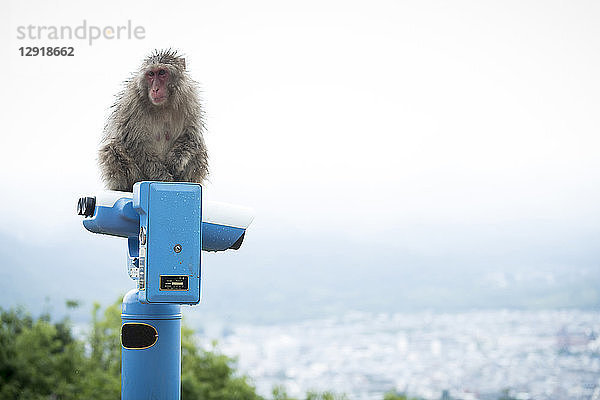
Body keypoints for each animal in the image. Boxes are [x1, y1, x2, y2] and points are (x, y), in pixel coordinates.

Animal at [98, 48, 209, 192]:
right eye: (151, 74)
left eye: (162, 73)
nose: (155, 89)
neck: (163, 106)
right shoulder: (131, 102)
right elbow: (134, 143)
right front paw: (162, 176)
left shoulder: (190, 99)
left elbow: (191, 136)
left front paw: (174, 162)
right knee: (112, 147)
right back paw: (125, 187)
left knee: (199, 150)